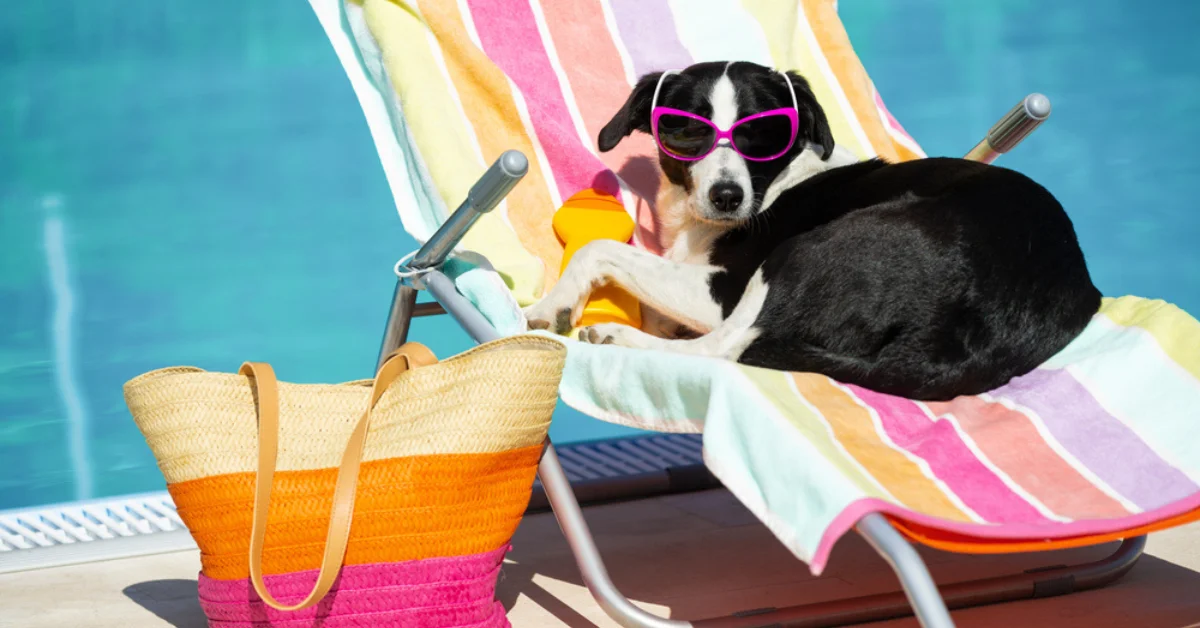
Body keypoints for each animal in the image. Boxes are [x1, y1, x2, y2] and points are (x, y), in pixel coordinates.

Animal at [520, 61, 1099, 401]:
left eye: (763, 132)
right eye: (685, 131)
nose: (727, 197)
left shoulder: (720, 292)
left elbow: (598, 250)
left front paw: (555, 304)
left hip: (802, 253)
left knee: (727, 348)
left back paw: (617, 336)